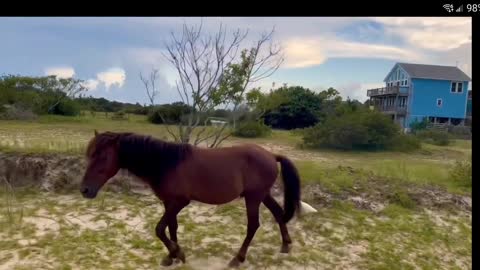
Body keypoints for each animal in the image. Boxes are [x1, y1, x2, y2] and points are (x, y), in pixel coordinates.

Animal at [81, 130, 300, 266]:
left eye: (102, 157)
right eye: (90, 155)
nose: (85, 190)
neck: (166, 163)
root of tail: (271, 155)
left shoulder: (179, 202)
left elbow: (159, 229)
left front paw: (178, 253)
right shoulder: (168, 202)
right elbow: (171, 228)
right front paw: (172, 256)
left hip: (253, 197)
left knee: (253, 225)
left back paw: (238, 259)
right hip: (262, 195)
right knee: (278, 213)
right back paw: (285, 245)